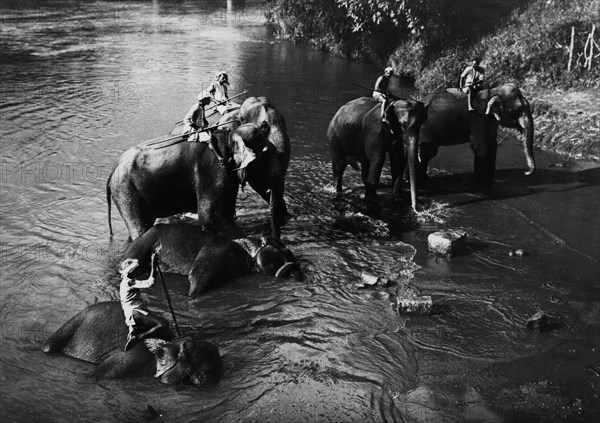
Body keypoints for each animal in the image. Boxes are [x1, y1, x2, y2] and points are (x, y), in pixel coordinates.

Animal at [106, 122, 288, 242]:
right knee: (139, 228)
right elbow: (209, 216)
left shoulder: (228, 176)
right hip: (126, 192)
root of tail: (113, 168)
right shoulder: (214, 169)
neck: (230, 134)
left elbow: (226, 215)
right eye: (267, 154)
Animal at [122, 222, 302, 298]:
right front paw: (190, 297)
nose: (297, 272)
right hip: (140, 250)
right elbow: (196, 276)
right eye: (285, 251)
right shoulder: (215, 253)